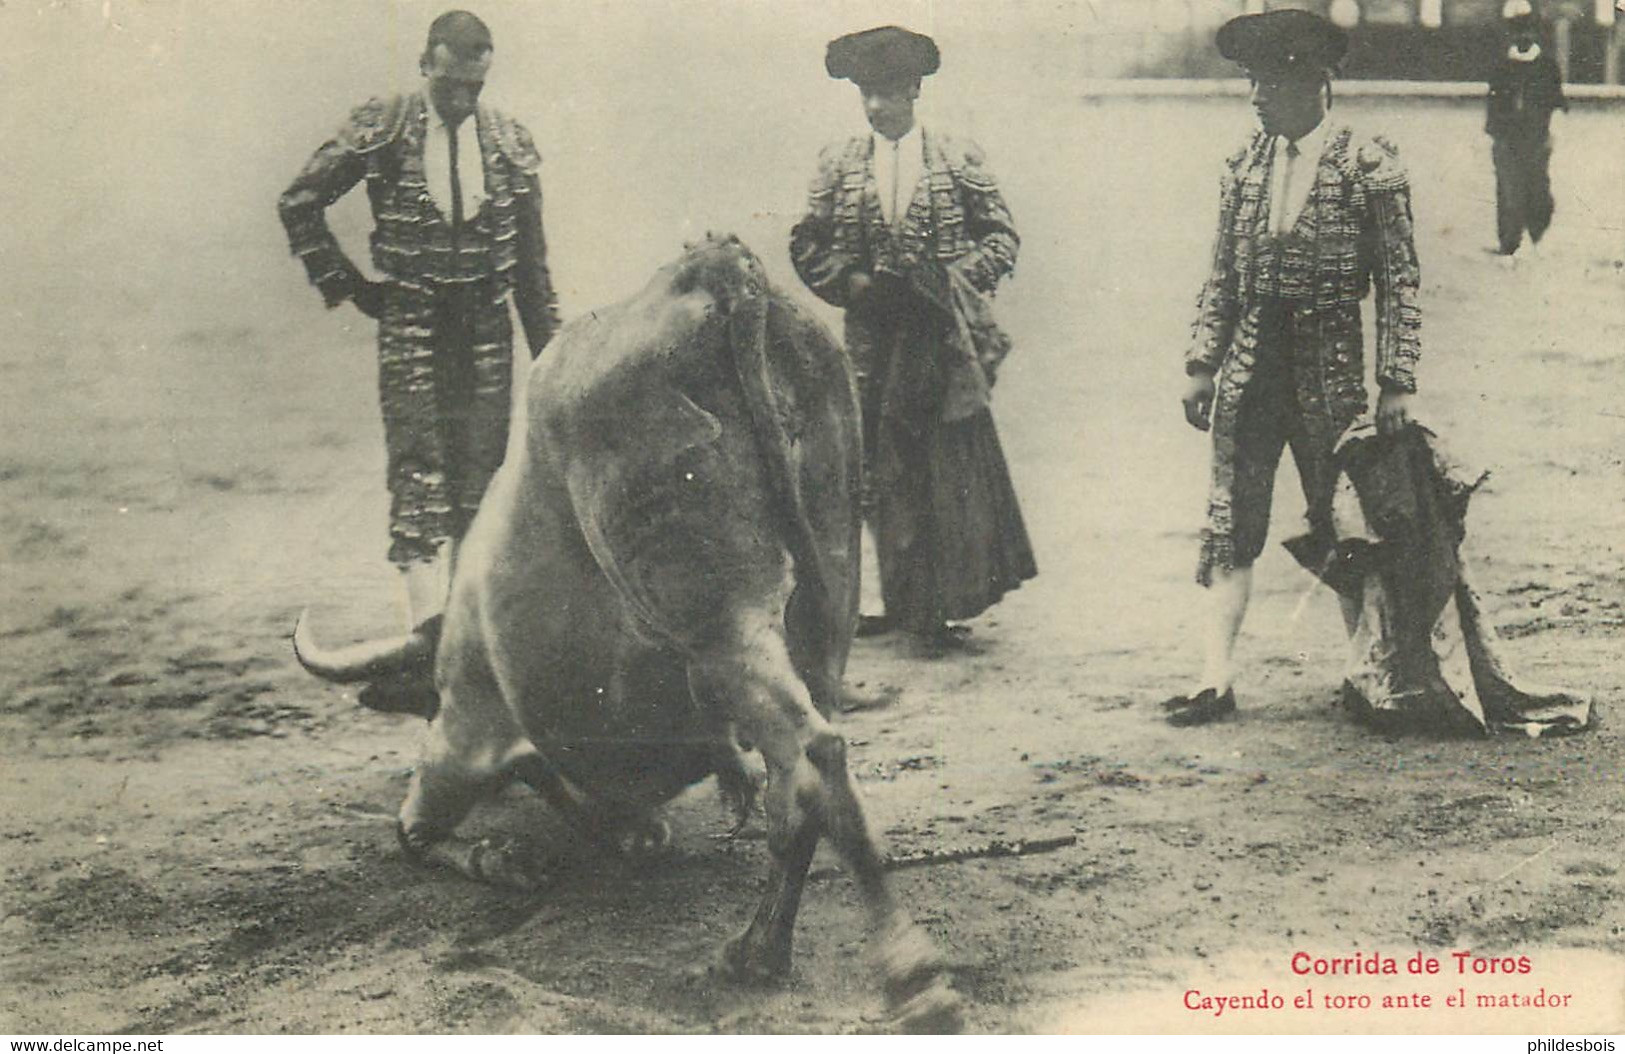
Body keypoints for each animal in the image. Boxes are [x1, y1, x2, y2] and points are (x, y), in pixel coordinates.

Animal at [290, 237, 955, 1026]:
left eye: (428, 699)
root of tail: (715, 276)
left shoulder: (462, 734)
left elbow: (415, 831)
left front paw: (506, 858)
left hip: (718, 621)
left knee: (810, 760)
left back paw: (903, 977)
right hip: (828, 596)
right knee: (802, 771)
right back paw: (761, 954)